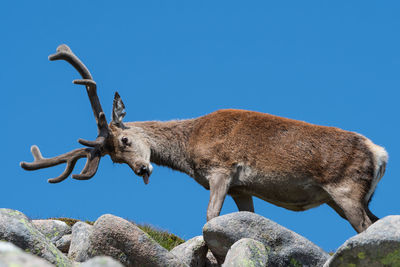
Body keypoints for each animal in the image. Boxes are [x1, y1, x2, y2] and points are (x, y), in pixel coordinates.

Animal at [21, 45, 388, 233]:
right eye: (114, 158)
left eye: (124, 141)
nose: (143, 170)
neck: (189, 146)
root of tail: (380, 154)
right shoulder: (243, 188)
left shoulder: (221, 169)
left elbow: (210, 218)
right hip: (349, 198)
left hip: (345, 189)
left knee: (366, 227)